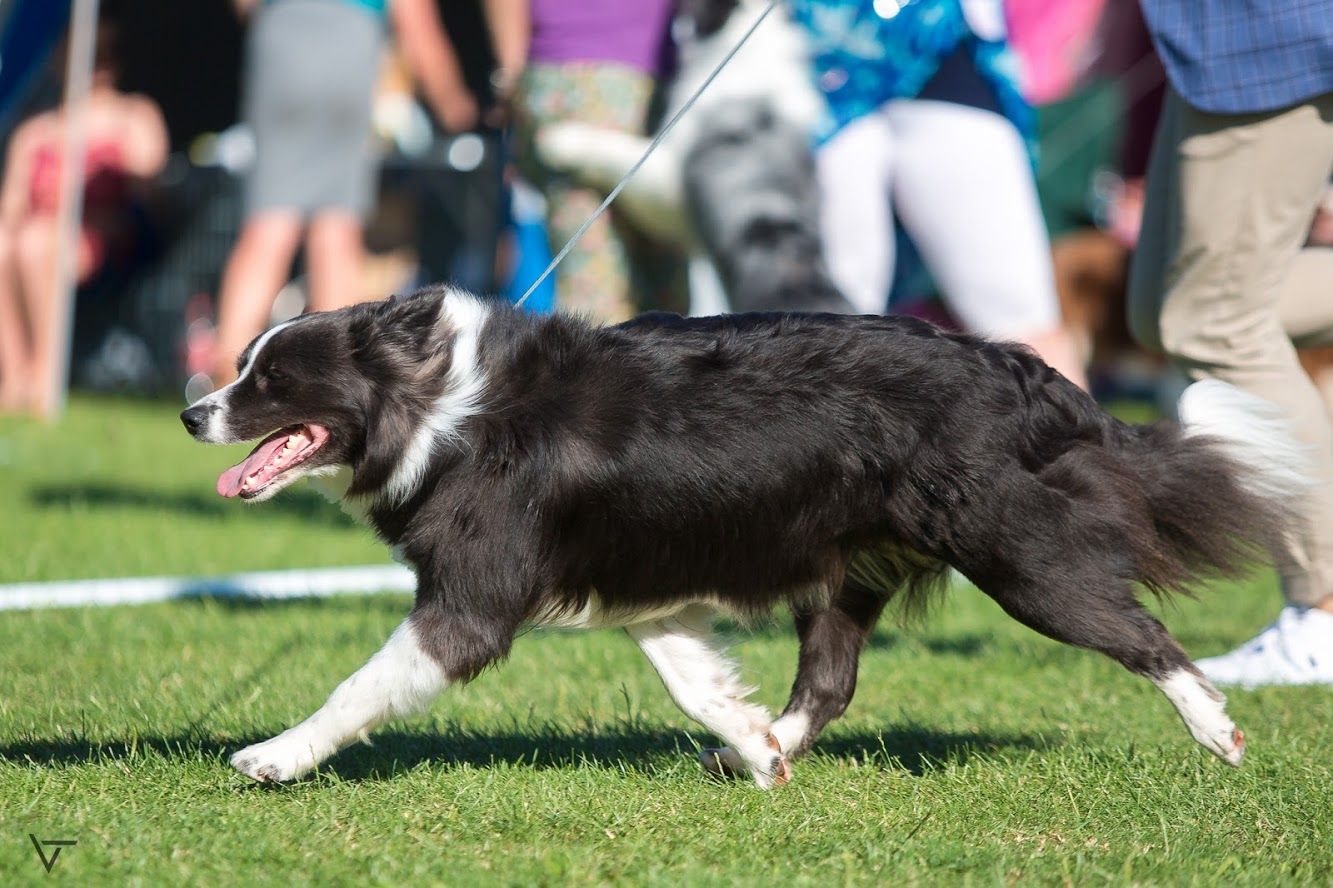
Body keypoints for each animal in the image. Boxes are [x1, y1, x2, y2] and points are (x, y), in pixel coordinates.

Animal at [182, 286, 1306, 784]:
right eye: (240, 367)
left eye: (270, 379)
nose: (193, 415)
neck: (442, 411)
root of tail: (1031, 379)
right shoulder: (640, 588)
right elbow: (692, 678)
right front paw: (752, 745)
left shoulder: (471, 599)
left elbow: (357, 687)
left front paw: (273, 757)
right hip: (849, 570)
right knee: (832, 679)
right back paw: (768, 753)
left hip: (1020, 559)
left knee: (1143, 635)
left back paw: (1219, 730)